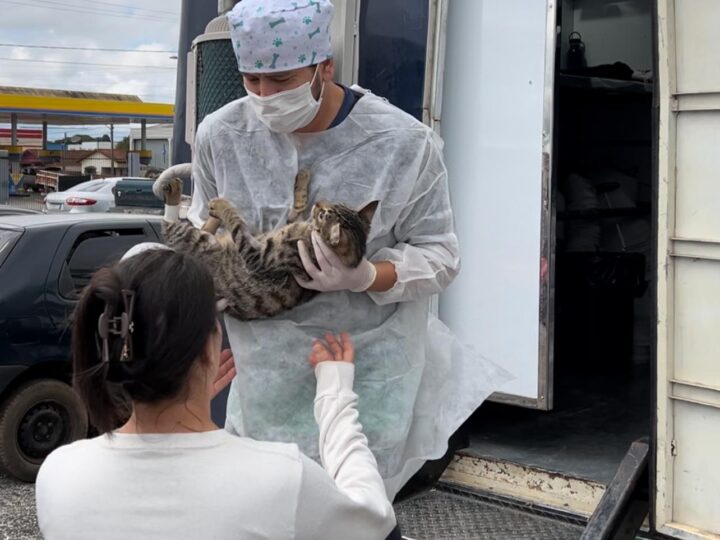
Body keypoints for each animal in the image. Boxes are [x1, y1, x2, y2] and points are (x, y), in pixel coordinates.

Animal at [153, 175, 376, 320]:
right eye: (334, 205)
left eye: (325, 215)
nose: (320, 203)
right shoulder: (289, 223)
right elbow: (298, 206)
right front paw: (303, 177)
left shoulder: (257, 258)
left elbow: (236, 222)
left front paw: (223, 206)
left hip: (196, 240)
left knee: (170, 225)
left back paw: (179, 194)